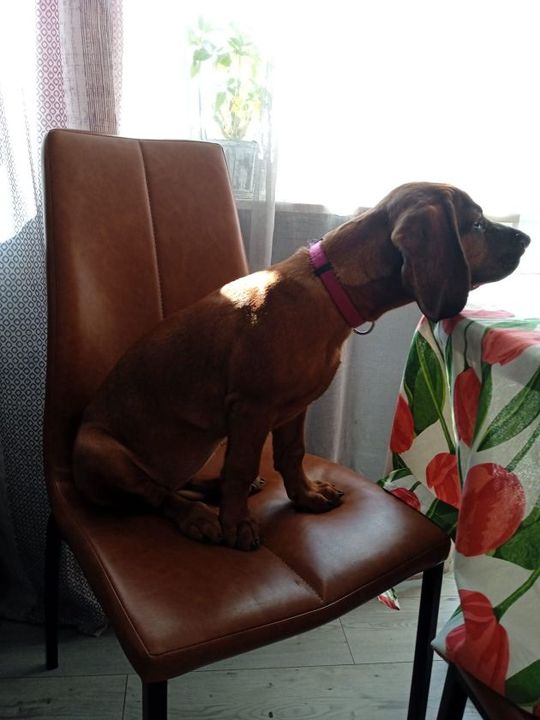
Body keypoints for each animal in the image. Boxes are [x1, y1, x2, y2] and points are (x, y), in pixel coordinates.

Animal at [73, 182, 530, 550]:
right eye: (476, 226)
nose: (526, 238)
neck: (331, 290)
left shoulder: (295, 408)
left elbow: (291, 455)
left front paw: (305, 496)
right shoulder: (251, 409)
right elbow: (239, 465)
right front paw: (236, 523)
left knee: (174, 482)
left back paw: (212, 489)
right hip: (98, 449)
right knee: (156, 493)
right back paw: (198, 516)